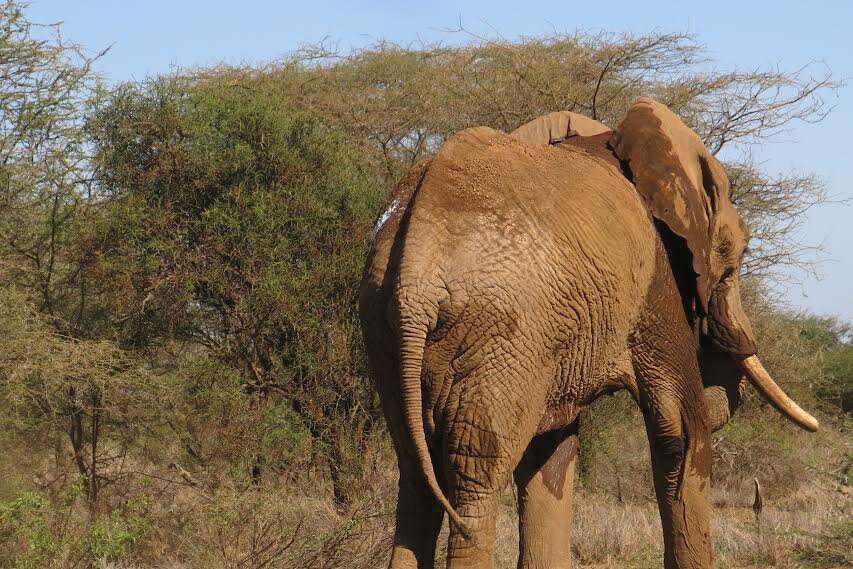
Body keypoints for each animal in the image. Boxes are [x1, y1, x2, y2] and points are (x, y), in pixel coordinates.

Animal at [356, 98, 816, 568]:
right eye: (737, 258)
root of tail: (418, 264)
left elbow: (551, 450)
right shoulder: (656, 277)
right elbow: (681, 428)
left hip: (388, 327)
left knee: (415, 472)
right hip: (502, 328)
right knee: (477, 474)